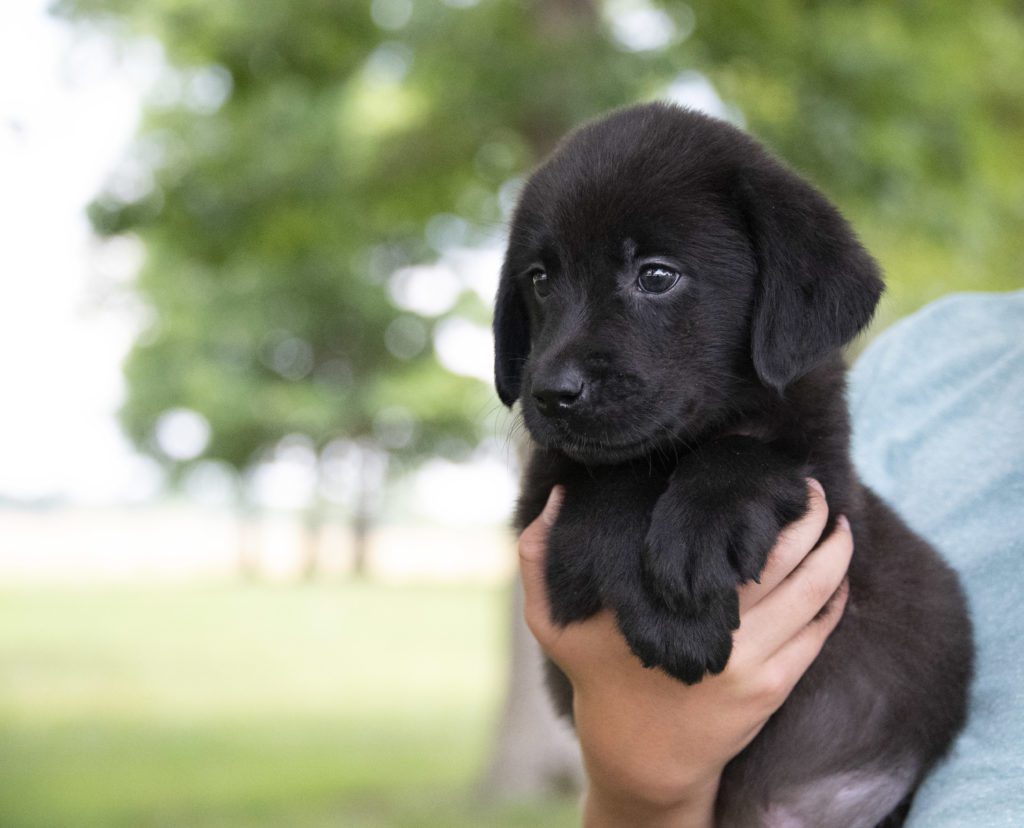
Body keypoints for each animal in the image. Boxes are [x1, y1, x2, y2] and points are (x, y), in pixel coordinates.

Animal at [495, 104, 974, 826]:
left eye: (657, 276)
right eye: (540, 279)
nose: (550, 393)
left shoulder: (832, 490)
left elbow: (748, 453)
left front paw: (694, 550)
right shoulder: (541, 500)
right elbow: (610, 475)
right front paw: (667, 612)